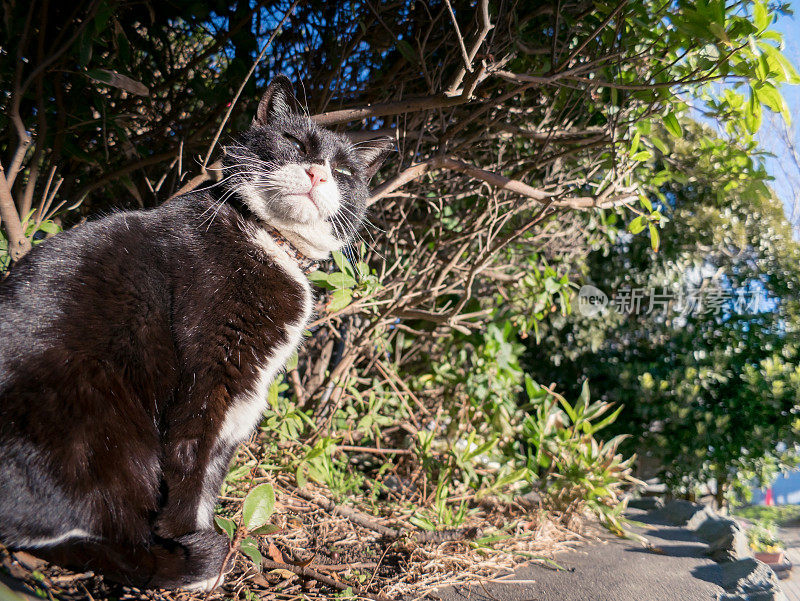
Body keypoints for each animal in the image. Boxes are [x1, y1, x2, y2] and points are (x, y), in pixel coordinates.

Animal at [0, 76, 394, 592]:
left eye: (345, 172)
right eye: (294, 143)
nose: (318, 175)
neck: (270, 240)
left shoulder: (242, 395)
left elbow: (212, 474)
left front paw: (207, 540)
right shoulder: (210, 367)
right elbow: (191, 459)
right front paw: (192, 542)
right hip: (97, 426)